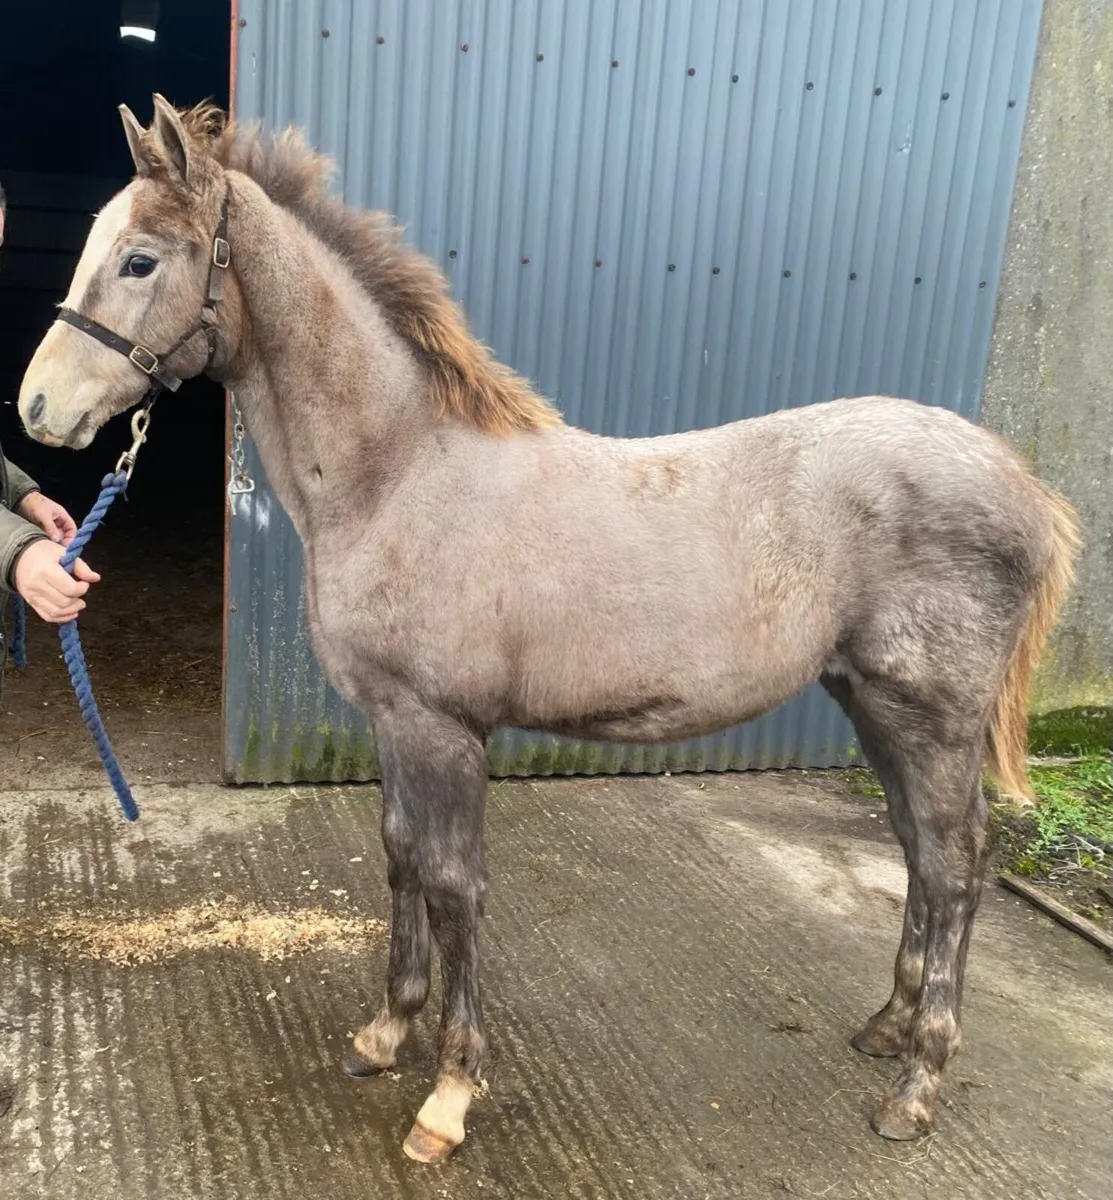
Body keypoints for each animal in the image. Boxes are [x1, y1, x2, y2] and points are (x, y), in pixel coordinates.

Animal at [18, 97, 1078, 1163]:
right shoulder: (392, 720)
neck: (398, 473)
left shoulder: (443, 728)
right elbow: (400, 856)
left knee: (951, 863)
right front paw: (384, 1033)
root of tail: (1019, 482)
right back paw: (887, 1027)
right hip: (869, 702)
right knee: (918, 852)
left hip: (928, 717)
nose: (37, 408)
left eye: (141, 259)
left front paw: (448, 1096)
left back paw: (917, 1084)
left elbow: (453, 886)